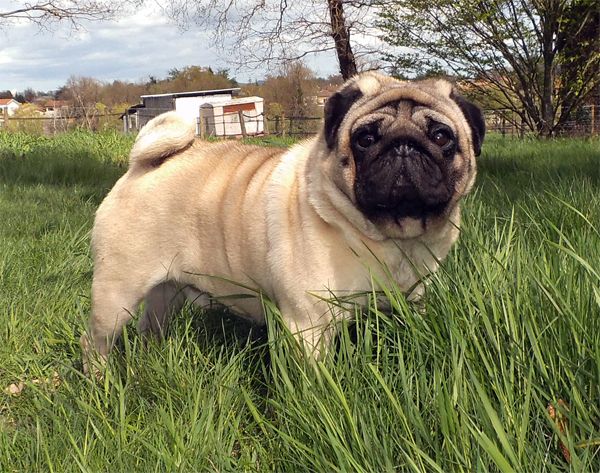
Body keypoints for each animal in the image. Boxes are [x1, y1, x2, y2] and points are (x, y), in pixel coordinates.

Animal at [81, 71, 485, 370]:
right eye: (365, 139)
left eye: (441, 136)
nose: (404, 145)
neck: (389, 238)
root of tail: (143, 164)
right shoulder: (309, 326)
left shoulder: (408, 305)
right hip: (117, 293)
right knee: (95, 341)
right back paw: (100, 383)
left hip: (168, 291)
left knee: (151, 326)